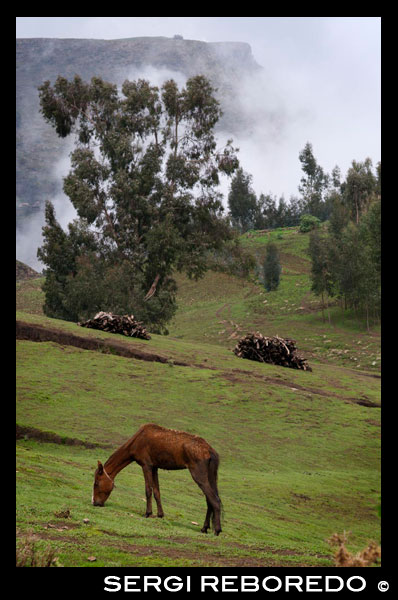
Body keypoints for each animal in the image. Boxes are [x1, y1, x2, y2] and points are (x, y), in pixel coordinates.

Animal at [93, 422, 224, 536]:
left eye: (96, 483)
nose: (95, 502)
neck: (134, 443)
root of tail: (211, 451)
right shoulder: (155, 467)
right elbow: (157, 492)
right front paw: (160, 514)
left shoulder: (146, 465)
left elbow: (148, 490)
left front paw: (148, 513)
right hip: (211, 476)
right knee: (209, 500)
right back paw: (204, 528)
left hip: (198, 474)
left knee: (215, 500)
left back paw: (217, 530)